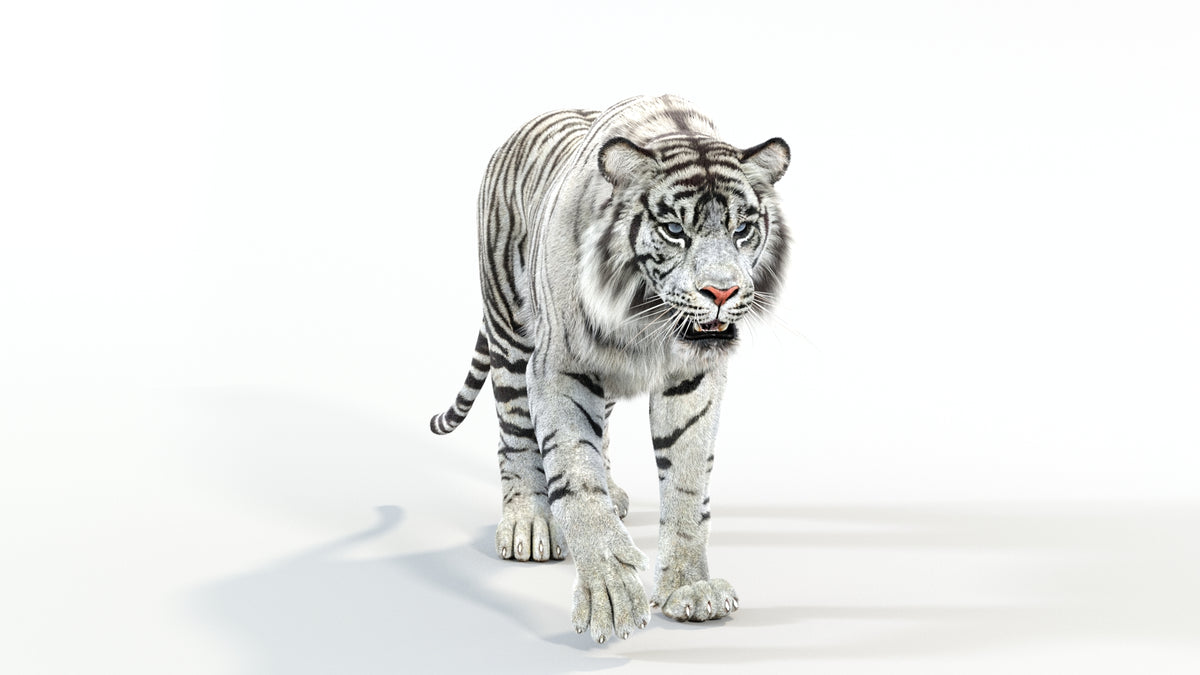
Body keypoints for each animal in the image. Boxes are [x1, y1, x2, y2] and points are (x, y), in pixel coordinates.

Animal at [430, 94, 790, 643]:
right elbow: (576, 477)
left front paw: (690, 587)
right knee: (514, 432)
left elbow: (686, 484)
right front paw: (611, 595)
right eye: (674, 231)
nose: (722, 291)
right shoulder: (558, 366)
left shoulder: (692, 379)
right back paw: (527, 521)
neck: (645, 317)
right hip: (510, 331)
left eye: (742, 230)